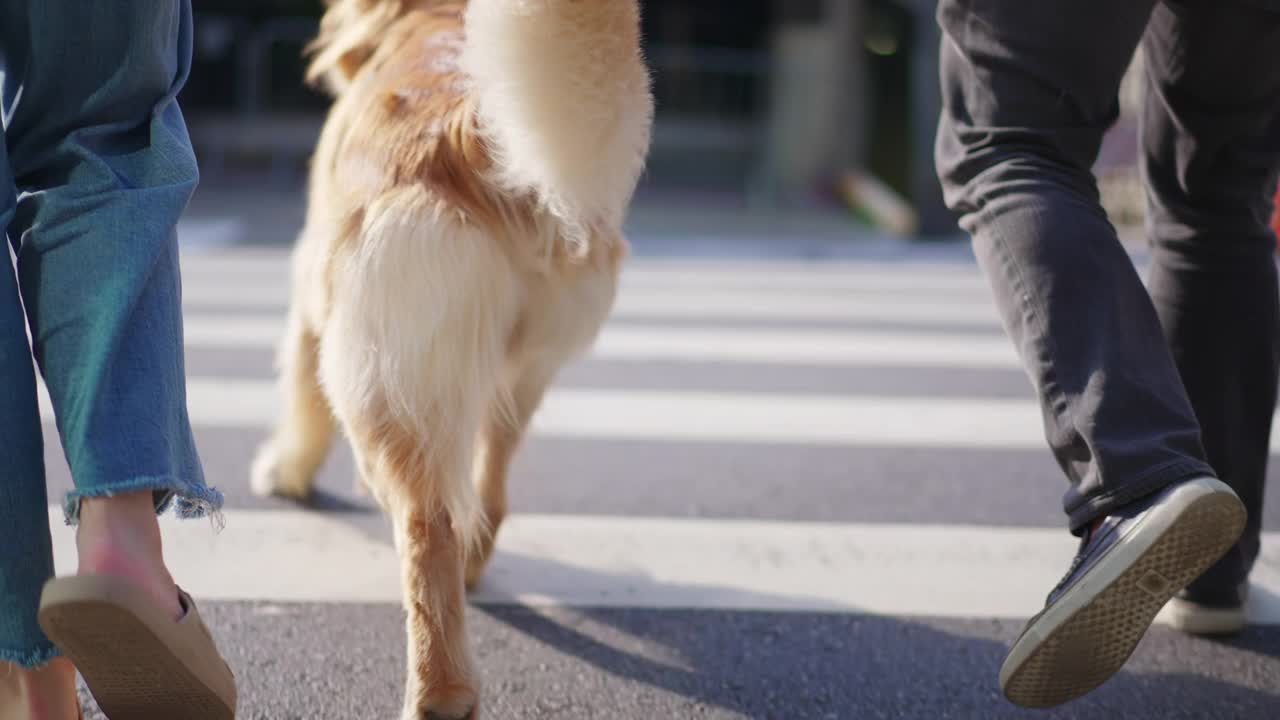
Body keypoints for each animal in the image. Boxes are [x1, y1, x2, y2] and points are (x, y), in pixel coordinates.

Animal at [245, 2, 655, 712]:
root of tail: (476, 129)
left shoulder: (314, 293)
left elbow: (300, 396)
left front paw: (285, 472)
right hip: (521, 371)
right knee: (489, 484)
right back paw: (473, 562)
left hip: (381, 364)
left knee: (425, 523)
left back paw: (439, 692)